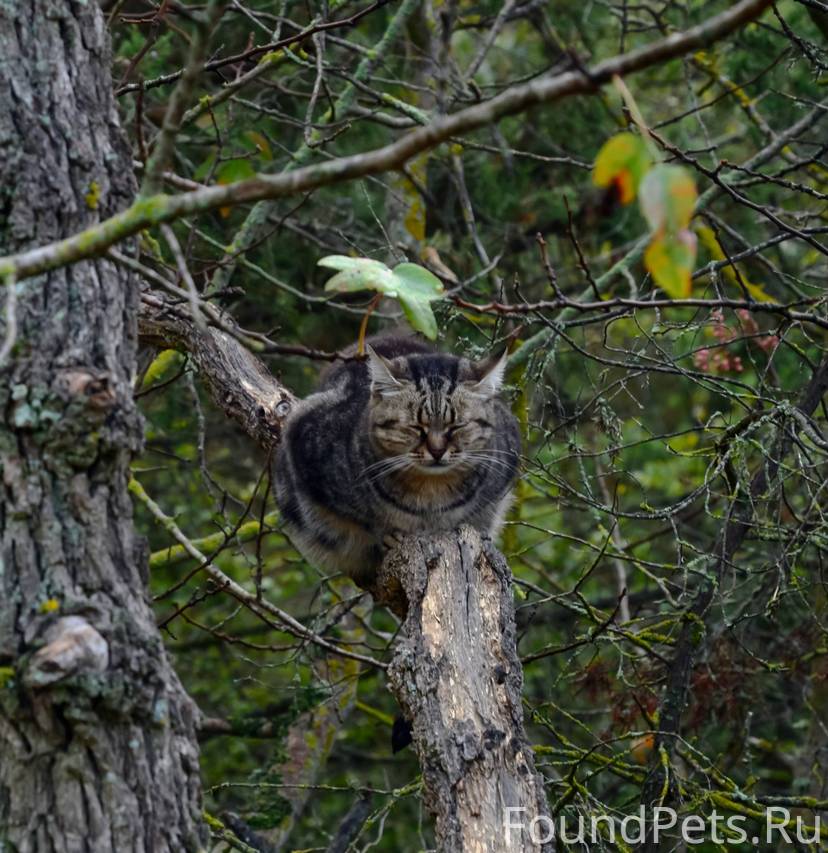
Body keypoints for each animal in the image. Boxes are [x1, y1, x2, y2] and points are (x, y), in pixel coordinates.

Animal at [273, 335, 521, 586]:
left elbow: (481, 518)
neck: (431, 491)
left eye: (456, 426)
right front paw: (387, 535)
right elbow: (362, 521)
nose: (437, 450)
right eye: (415, 427)